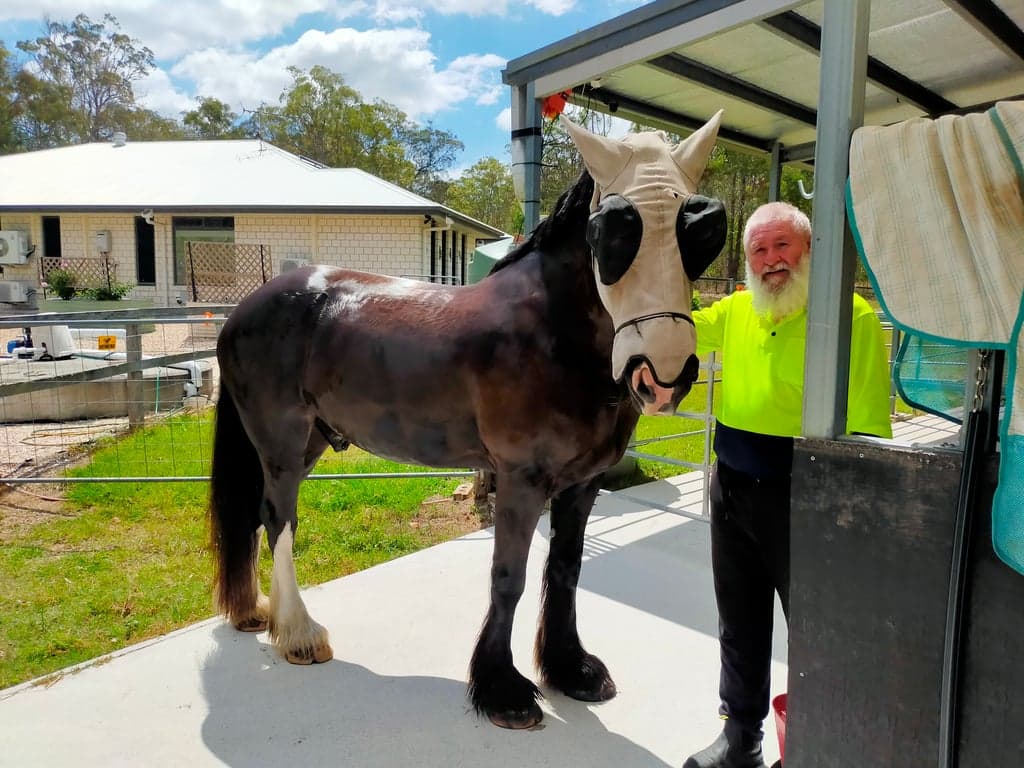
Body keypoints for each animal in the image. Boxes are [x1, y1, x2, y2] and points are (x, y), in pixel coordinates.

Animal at [208, 112, 726, 729]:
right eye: (611, 230)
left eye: (704, 229)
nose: (663, 372)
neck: (552, 333)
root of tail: (246, 307)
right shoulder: (522, 480)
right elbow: (509, 578)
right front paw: (503, 690)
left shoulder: (581, 485)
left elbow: (567, 570)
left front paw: (569, 670)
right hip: (282, 445)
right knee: (278, 519)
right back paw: (299, 636)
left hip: (308, 441)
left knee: (256, 517)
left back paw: (257, 615)